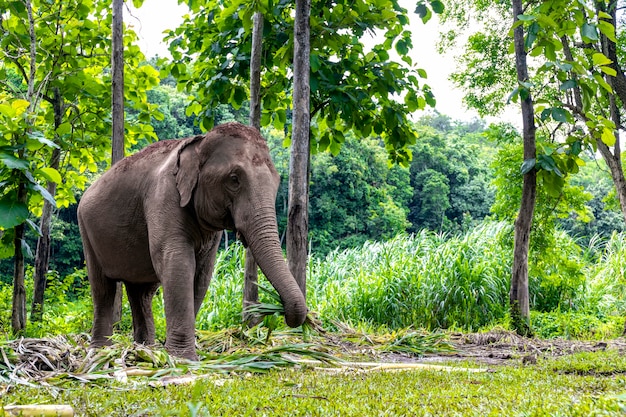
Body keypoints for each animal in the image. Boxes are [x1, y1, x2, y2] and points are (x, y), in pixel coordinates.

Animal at [78, 122, 308, 360]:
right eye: (234, 179)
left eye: (277, 180)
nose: (279, 311)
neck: (199, 142)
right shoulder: (163, 197)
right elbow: (177, 263)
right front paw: (183, 359)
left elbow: (203, 272)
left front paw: (177, 356)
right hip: (86, 229)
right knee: (103, 289)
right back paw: (100, 352)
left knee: (141, 292)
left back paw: (144, 350)